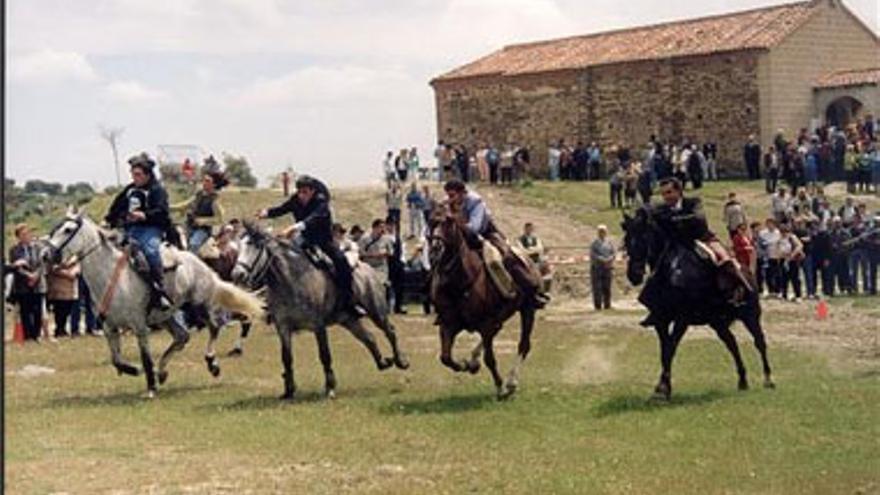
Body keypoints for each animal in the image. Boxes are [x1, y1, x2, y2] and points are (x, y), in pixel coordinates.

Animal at [44, 210, 262, 400]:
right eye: (55, 228)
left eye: (68, 230)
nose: (46, 254)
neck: (111, 277)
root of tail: (200, 264)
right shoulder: (109, 328)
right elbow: (117, 360)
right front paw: (135, 370)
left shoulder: (140, 327)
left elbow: (146, 358)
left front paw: (150, 387)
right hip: (165, 316)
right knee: (182, 336)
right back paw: (162, 371)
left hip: (198, 306)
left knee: (215, 327)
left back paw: (212, 363)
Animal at [230, 223, 410, 402]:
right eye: (239, 246)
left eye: (254, 245)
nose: (237, 275)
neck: (291, 280)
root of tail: (368, 269)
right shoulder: (283, 328)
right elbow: (287, 358)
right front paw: (289, 391)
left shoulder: (318, 326)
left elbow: (324, 355)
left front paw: (330, 387)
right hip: (348, 320)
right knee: (369, 338)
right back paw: (382, 362)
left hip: (377, 312)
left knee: (390, 331)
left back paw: (401, 361)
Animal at [426, 208, 536, 400]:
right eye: (431, 221)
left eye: (448, 222)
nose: (436, 249)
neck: (461, 284)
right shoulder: (448, 325)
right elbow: (445, 357)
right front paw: (465, 365)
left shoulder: (485, 324)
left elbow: (490, 359)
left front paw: (500, 388)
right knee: (498, 332)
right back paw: (473, 360)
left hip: (527, 309)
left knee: (523, 345)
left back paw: (511, 382)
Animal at [620, 207, 776, 402]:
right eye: (627, 240)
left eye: (643, 238)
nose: (634, 275)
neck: (671, 270)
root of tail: (747, 272)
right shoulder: (661, 320)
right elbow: (665, 351)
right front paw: (663, 388)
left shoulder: (682, 319)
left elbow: (670, 349)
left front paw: (662, 388)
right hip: (717, 322)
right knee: (731, 343)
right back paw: (742, 380)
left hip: (751, 315)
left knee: (759, 341)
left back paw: (768, 380)